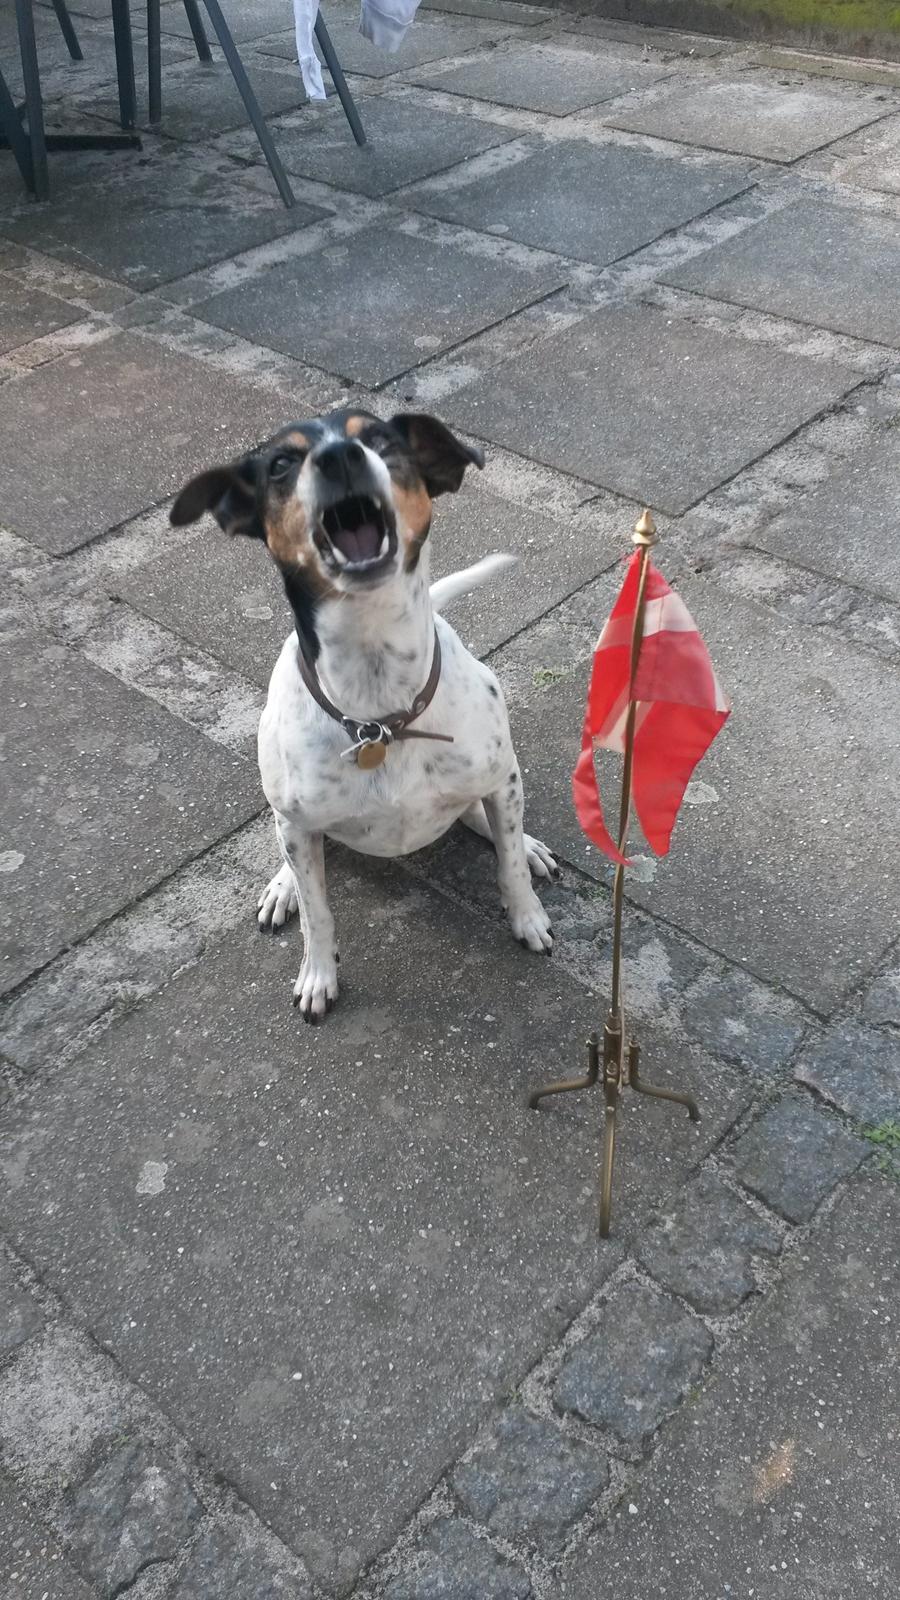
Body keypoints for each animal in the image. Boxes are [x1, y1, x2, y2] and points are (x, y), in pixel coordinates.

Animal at [169, 406, 554, 1017]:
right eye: (281, 463)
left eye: (378, 439)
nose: (338, 457)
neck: (381, 712)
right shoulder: (298, 826)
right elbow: (319, 915)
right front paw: (318, 975)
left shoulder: (501, 775)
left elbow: (510, 866)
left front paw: (528, 916)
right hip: (287, 814)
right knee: (293, 852)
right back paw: (282, 887)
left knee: (492, 824)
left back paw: (523, 842)